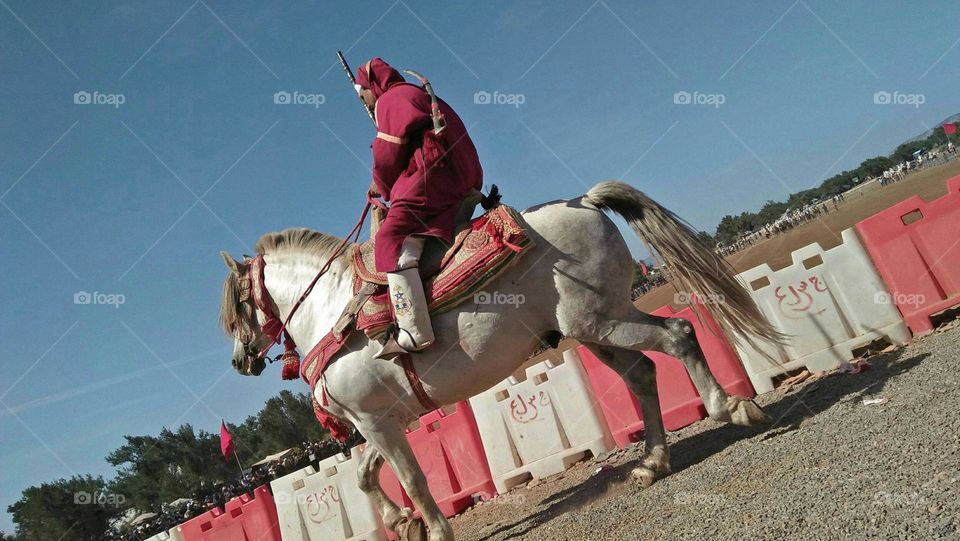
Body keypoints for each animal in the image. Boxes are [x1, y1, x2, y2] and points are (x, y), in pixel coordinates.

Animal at [219, 179, 780, 536]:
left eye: (237, 306)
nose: (240, 360)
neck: (333, 310)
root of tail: (584, 202)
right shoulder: (380, 419)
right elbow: (362, 475)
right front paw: (402, 523)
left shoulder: (376, 421)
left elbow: (414, 481)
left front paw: (432, 530)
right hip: (593, 330)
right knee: (643, 372)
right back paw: (653, 462)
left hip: (603, 322)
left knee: (679, 335)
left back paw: (731, 408)